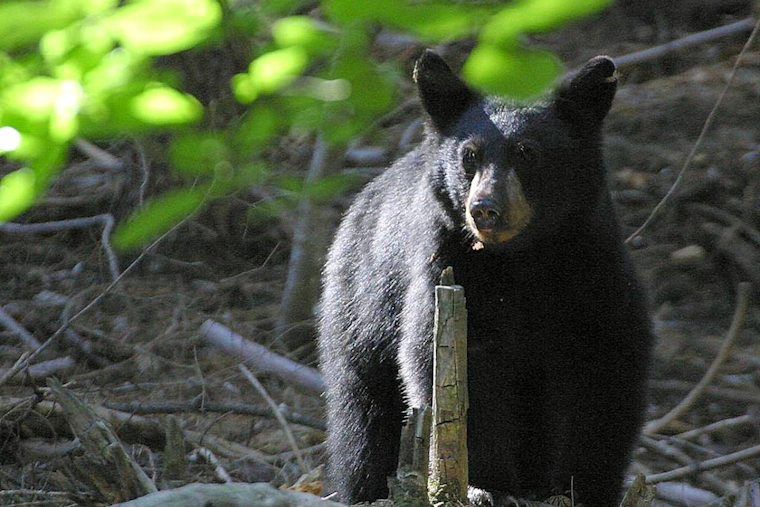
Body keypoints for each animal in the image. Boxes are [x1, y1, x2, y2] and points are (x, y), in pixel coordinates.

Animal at [317, 50, 653, 507]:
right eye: (470, 156)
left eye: (527, 153)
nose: (485, 209)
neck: (522, 258)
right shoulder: (450, 268)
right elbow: (455, 367)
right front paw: (487, 485)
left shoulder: (591, 269)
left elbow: (606, 369)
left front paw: (582, 486)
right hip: (361, 309)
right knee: (363, 419)